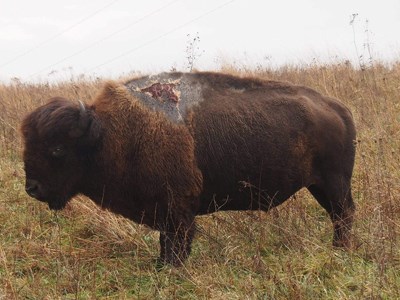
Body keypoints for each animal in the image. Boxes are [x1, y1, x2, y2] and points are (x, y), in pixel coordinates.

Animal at [21, 71, 356, 266]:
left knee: (344, 214)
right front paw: (160, 265)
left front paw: (172, 268)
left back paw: (340, 251)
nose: (32, 188)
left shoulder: (178, 210)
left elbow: (177, 243)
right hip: (319, 186)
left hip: (334, 183)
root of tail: (337, 108)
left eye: (57, 148)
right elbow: (164, 242)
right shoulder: (164, 211)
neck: (107, 133)